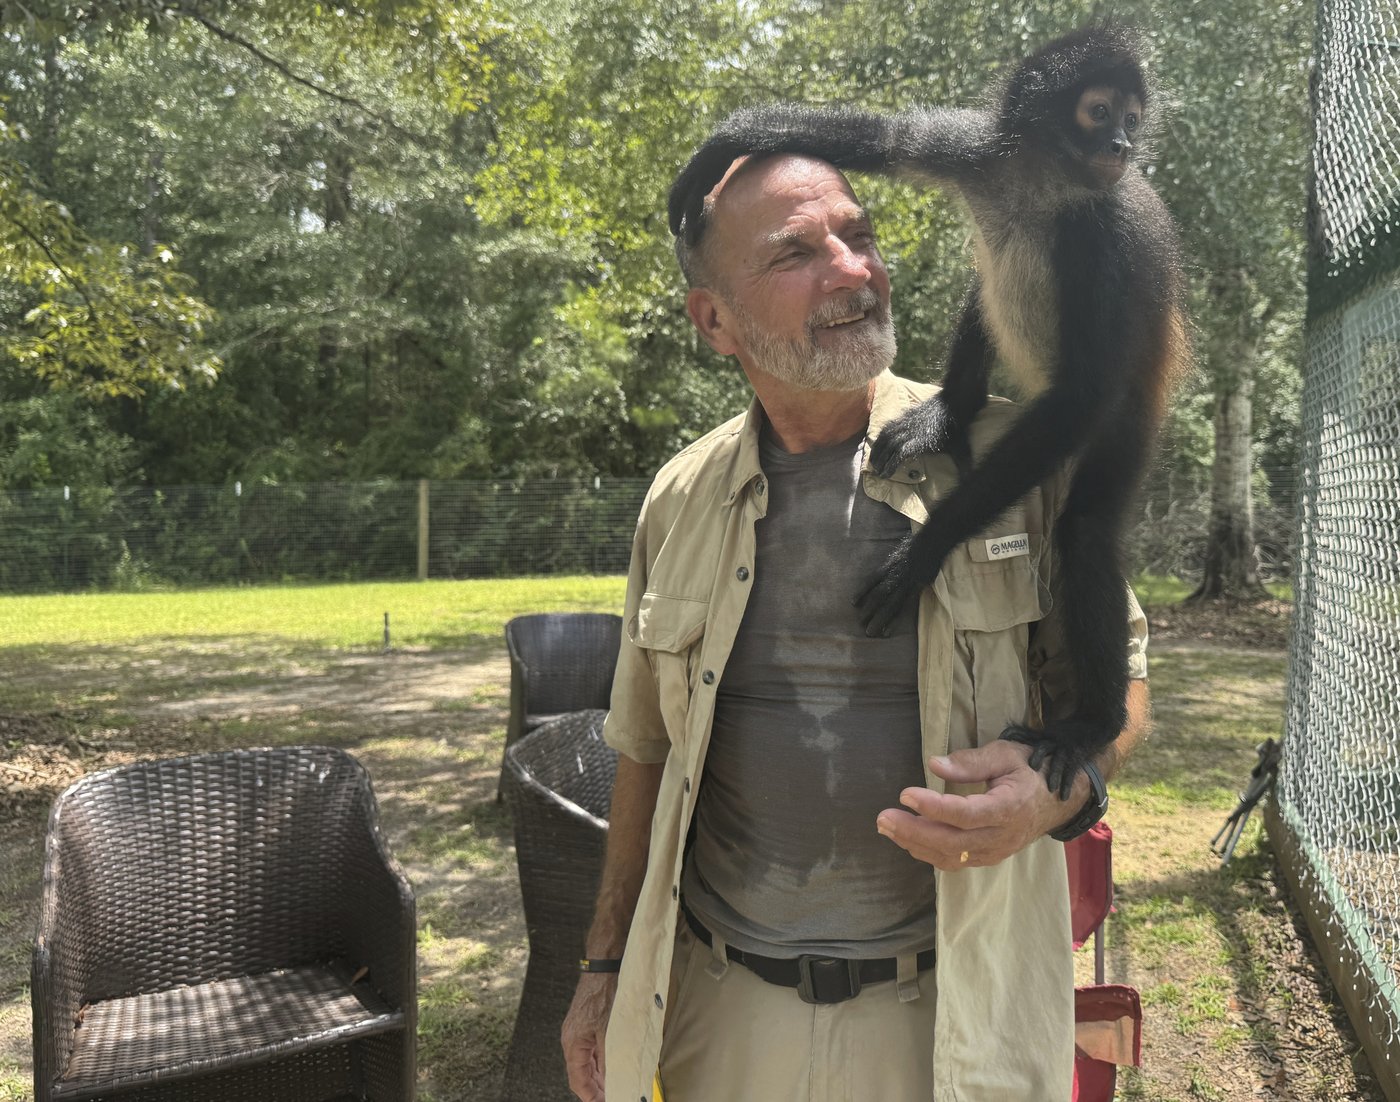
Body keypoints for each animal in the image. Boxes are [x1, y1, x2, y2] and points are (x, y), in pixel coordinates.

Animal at [666, 25, 1188, 800]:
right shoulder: (987, 156)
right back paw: (948, 414)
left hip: (1128, 424)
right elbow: (889, 139)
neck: (1046, 188)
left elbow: (1080, 396)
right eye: (1100, 112)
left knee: (1087, 526)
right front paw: (730, 141)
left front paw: (926, 549)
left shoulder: (1104, 236)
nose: (1124, 145)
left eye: (1131, 116)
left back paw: (1091, 724)